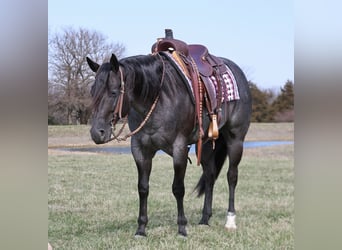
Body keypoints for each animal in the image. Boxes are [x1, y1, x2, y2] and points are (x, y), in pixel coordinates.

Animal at [85, 51, 251, 236]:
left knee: (232, 176)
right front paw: (141, 229)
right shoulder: (140, 150)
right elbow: (143, 188)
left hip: (235, 140)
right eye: (92, 91)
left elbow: (178, 188)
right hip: (207, 145)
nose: (97, 133)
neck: (157, 99)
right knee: (210, 176)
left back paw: (230, 220)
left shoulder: (179, 149)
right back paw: (204, 219)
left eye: (114, 92)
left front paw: (182, 228)